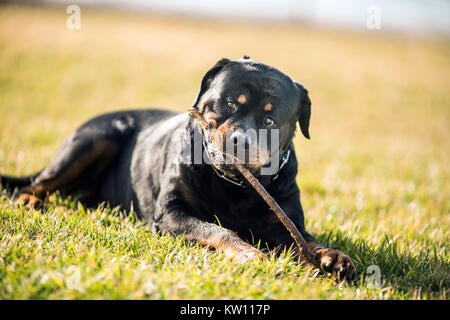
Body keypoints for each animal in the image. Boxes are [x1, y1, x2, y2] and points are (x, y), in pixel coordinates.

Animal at [1, 57, 356, 280]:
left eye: (270, 120)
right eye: (230, 103)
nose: (240, 139)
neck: (233, 187)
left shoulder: (282, 222)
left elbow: (305, 240)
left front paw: (333, 256)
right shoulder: (172, 214)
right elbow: (217, 229)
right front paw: (248, 253)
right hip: (97, 135)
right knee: (37, 182)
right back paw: (29, 199)